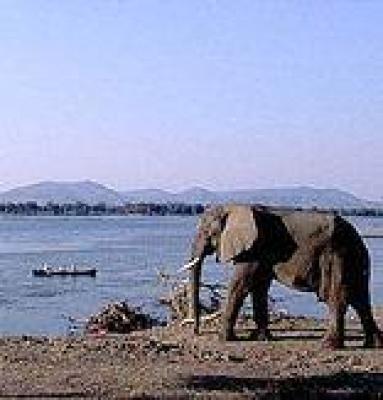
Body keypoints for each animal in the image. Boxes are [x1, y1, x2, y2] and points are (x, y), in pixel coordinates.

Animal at [185, 205, 380, 348]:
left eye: (207, 233)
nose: (195, 331)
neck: (234, 206)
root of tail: (357, 236)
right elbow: (259, 287)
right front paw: (260, 338)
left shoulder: (254, 248)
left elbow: (240, 284)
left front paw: (224, 339)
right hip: (355, 260)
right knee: (361, 300)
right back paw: (372, 344)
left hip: (337, 256)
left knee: (337, 298)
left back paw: (327, 346)